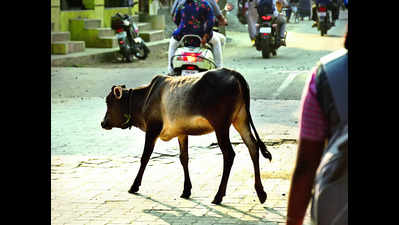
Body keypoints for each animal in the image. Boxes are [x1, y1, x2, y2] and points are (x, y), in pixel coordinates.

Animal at [101, 67, 274, 205]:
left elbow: (145, 157)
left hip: (221, 126)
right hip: (241, 119)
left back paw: (218, 196)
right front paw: (186, 190)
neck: (144, 98)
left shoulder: (152, 129)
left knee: (229, 154)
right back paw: (261, 193)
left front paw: (134, 186)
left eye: (109, 102)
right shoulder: (182, 133)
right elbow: (184, 158)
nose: (103, 123)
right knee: (253, 146)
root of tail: (234, 73)